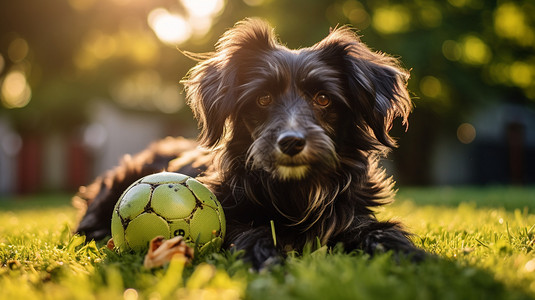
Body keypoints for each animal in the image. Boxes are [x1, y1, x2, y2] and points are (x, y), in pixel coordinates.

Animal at [75, 18, 426, 268]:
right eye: (263, 98)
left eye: (324, 98)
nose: (291, 143)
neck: (295, 189)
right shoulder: (231, 214)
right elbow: (249, 231)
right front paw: (266, 258)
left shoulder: (354, 218)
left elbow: (382, 233)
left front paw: (415, 258)